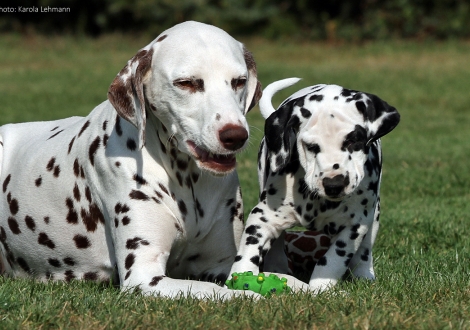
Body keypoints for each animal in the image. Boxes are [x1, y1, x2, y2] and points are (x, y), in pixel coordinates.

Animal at [0, 20, 266, 300]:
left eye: (239, 82)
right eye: (186, 83)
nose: (235, 135)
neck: (186, 180)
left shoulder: (222, 264)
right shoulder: (144, 277)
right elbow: (220, 291)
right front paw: (253, 297)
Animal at [229, 78, 398, 294]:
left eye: (354, 140)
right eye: (311, 146)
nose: (334, 183)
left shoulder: (354, 226)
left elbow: (332, 260)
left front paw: (321, 288)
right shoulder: (263, 215)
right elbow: (249, 249)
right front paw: (240, 279)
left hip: (374, 216)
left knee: (364, 253)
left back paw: (364, 274)